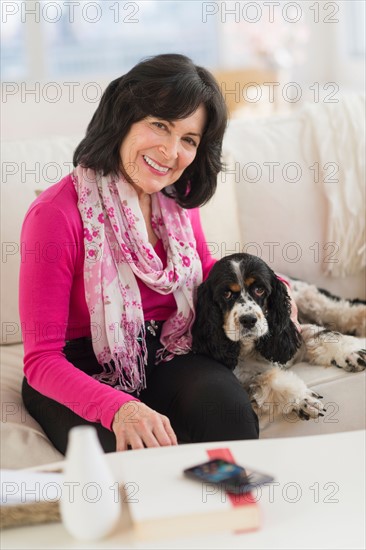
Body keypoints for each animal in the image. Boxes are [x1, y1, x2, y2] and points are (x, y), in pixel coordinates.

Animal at [192, 254, 366, 422]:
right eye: (226, 294)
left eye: (259, 290)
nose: (248, 320)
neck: (251, 347)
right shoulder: (245, 379)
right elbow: (269, 378)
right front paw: (303, 400)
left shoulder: (292, 334)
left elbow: (322, 333)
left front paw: (352, 353)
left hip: (309, 298)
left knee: (341, 309)